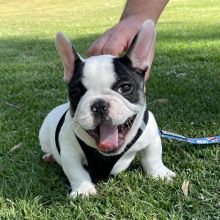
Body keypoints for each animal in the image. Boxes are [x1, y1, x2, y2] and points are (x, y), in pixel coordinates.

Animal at [38, 20, 175, 198]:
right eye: (75, 94)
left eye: (125, 88)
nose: (99, 105)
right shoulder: (69, 153)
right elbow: (75, 172)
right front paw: (83, 189)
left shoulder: (151, 136)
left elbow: (153, 157)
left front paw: (160, 173)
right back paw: (49, 156)